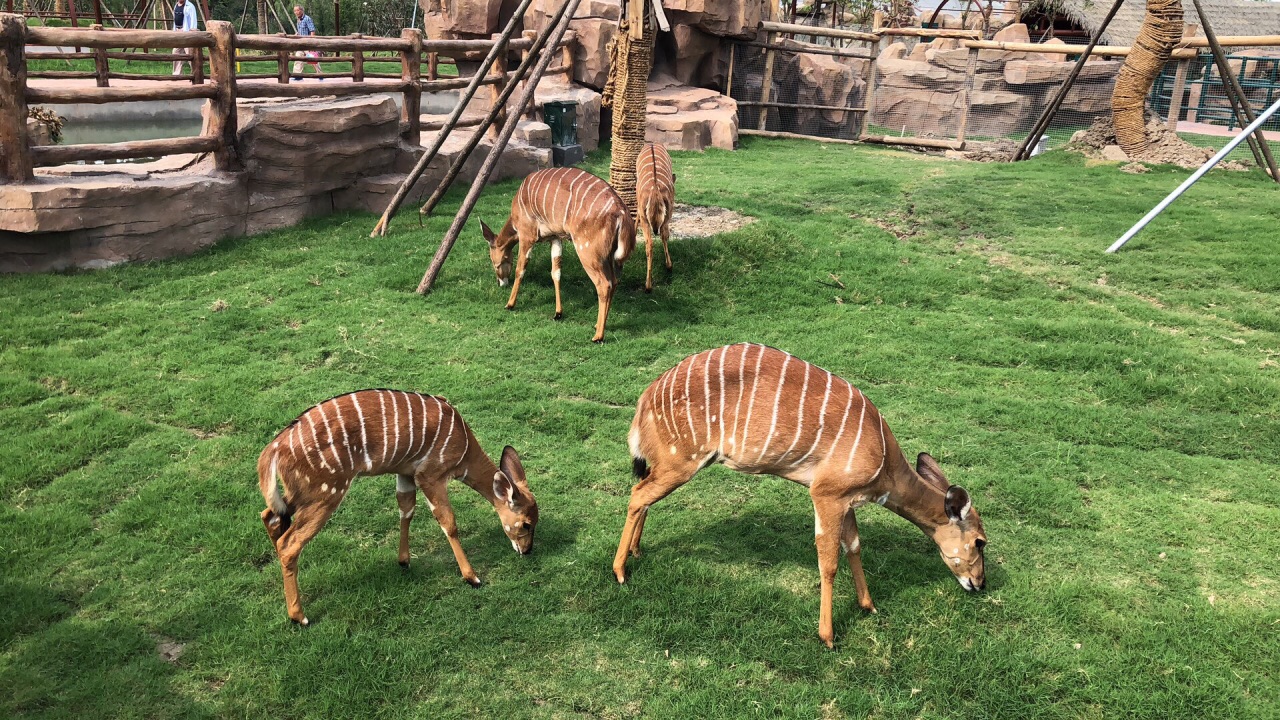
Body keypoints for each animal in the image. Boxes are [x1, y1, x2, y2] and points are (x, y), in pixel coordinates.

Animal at [257, 386, 537, 622]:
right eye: (526, 524)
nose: (527, 551)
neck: (464, 448)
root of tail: (273, 449)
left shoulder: (405, 473)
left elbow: (406, 510)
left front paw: (404, 561)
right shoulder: (431, 475)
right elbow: (448, 522)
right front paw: (472, 577)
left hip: (302, 494)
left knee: (271, 516)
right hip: (326, 492)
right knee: (289, 543)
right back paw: (299, 616)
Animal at [478, 165, 637, 340]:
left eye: (494, 262)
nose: (501, 283)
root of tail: (621, 212)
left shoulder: (527, 235)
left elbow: (521, 269)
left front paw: (510, 304)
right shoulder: (555, 238)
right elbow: (556, 273)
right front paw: (558, 313)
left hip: (587, 252)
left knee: (604, 284)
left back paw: (598, 336)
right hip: (608, 257)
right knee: (614, 281)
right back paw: (598, 325)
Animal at [619, 340, 988, 645]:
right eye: (980, 542)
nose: (980, 583)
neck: (884, 461)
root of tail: (646, 396)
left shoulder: (847, 500)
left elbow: (854, 546)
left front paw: (868, 605)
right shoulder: (826, 494)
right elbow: (829, 562)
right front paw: (828, 636)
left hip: (669, 463)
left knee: (643, 492)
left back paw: (636, 552)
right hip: (682, 461)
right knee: (637, 495)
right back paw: (620, 572)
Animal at [634, 141, 675, 289]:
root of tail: (655, 188)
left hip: (646, 219)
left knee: (650, 244)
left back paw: (648, 286)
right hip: (668, 214)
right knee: (663, 235)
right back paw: (668, 267)